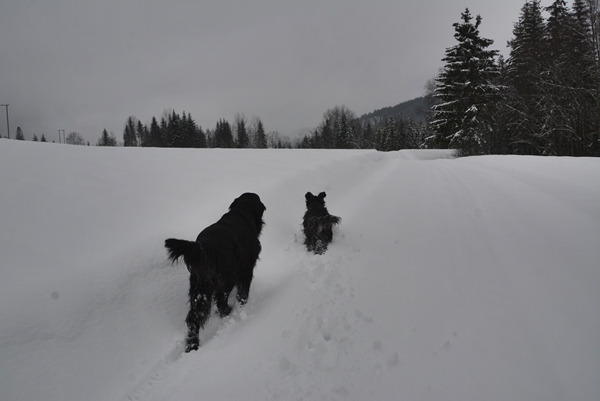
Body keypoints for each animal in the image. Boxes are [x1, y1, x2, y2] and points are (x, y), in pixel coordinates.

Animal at [165, 192, 266, 352]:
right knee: (220, 302)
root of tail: (205, 246)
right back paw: (228, 312)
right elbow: (243, 292)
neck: (241, 212)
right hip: (226, 280)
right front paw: (243, 305)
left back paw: (192, 346)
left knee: (193, 318)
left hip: (200, 289)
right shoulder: (246, 268)